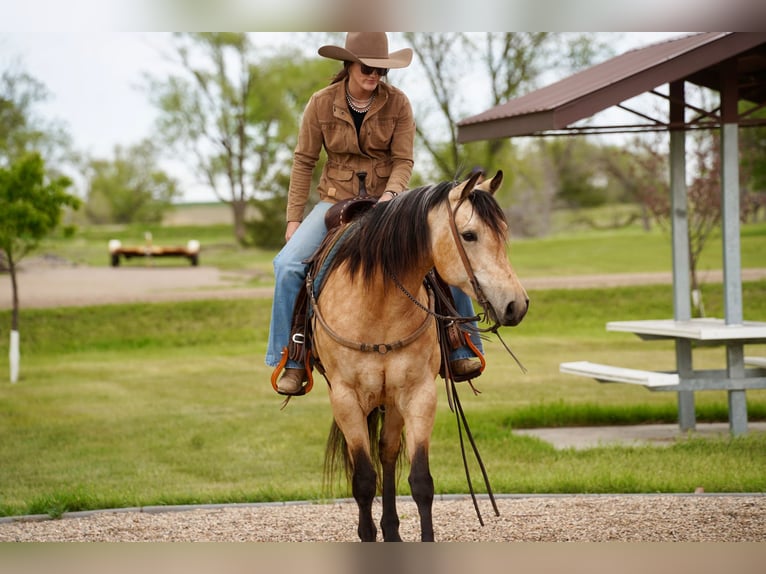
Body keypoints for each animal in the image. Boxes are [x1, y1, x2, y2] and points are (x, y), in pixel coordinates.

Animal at [311, 170, 528, 542]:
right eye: (469, 234)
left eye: (503, 232)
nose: (517, 304)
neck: (378, 303)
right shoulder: (345, 397)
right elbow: (363, 481)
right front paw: (366, 534)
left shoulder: (418, 394)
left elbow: (420, 481)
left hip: (392, 401)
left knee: (386, 452)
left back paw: (392, 530)